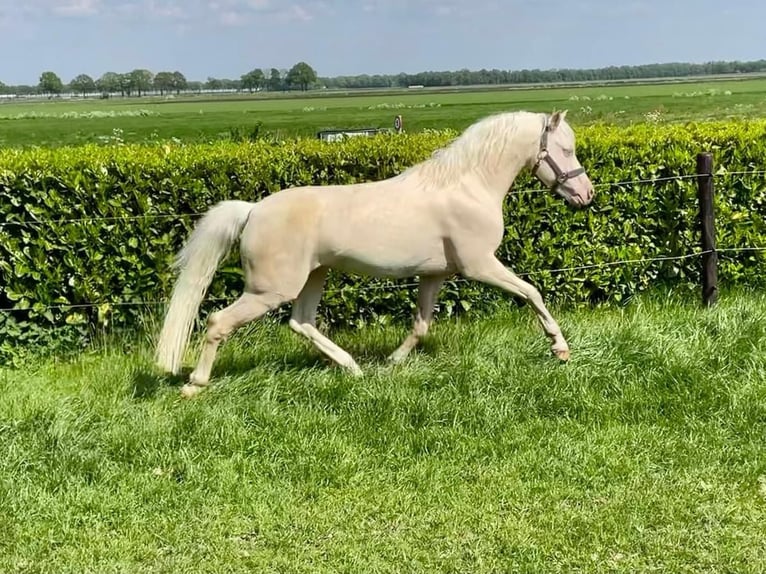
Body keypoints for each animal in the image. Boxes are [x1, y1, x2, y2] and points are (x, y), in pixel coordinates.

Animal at [156, 110, 596, 398]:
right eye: (567, 149)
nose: (586, 195)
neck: (467, 186)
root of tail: (252, 210)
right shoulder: (480, 265)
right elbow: (532, 292)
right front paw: (560, 349)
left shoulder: (435, 274)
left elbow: (420, 325)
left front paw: (393, 362)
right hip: (270, 290)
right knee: (218, 321)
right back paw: (194, 385)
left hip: (313, 277)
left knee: (301, 322)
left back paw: (352, 368)